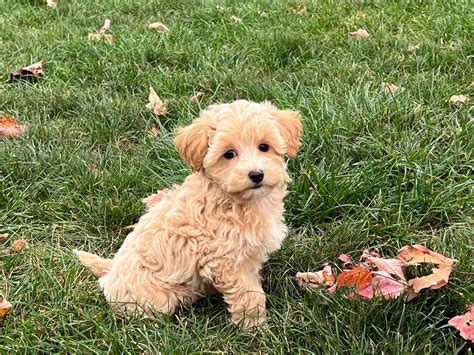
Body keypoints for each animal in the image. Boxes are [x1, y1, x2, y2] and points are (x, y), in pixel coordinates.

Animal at [75, 99, 302, 328]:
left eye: (264, 147)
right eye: (229, 154)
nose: (256, 175)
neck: (236, 200)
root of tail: (111, 271)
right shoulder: (224, 261)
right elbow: (248, 294)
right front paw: (254, 325)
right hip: (156, 298)